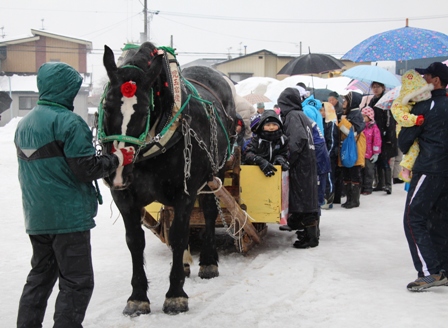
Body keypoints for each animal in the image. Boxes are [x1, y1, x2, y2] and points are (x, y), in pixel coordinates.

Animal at [99, 41, 236, 316]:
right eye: (107, 107)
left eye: (144, 110)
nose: (117, 171)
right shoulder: (123, 196)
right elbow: (135, 241)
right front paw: (138, 297)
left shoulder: (186, 191)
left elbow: (179, 234)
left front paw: (175, 295)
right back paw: (184, 262)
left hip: (214, 174)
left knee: (208, 212)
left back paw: (208, 261)